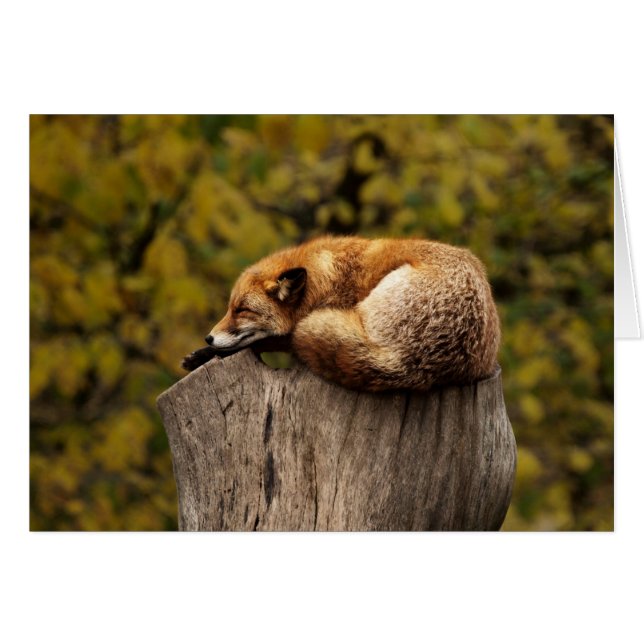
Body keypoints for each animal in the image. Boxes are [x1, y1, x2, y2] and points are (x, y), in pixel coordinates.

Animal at [182, 235, 501, 392]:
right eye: (230, 308)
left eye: (242, 310)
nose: (208, 337)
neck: (326, 280)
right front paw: (201, 354)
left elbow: (270, 340)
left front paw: (206, 353)